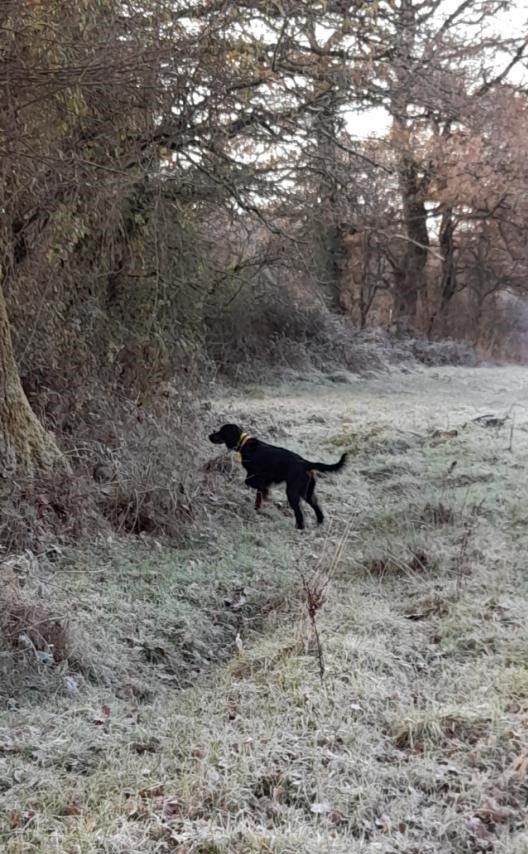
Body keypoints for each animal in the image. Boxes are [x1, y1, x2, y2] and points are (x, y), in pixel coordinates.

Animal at [208, 424, 348, 532]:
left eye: (221, 431)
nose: (209, 436)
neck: (244, 444)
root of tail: (306, 463)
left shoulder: (259, 475)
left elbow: (252, 484)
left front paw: (265, 494)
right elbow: (258, 494)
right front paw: (258, 506)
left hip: (292, 492)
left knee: (299, 512)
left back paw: (299, 528)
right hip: (307, 492)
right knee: (316, 507)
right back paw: (319, 522)